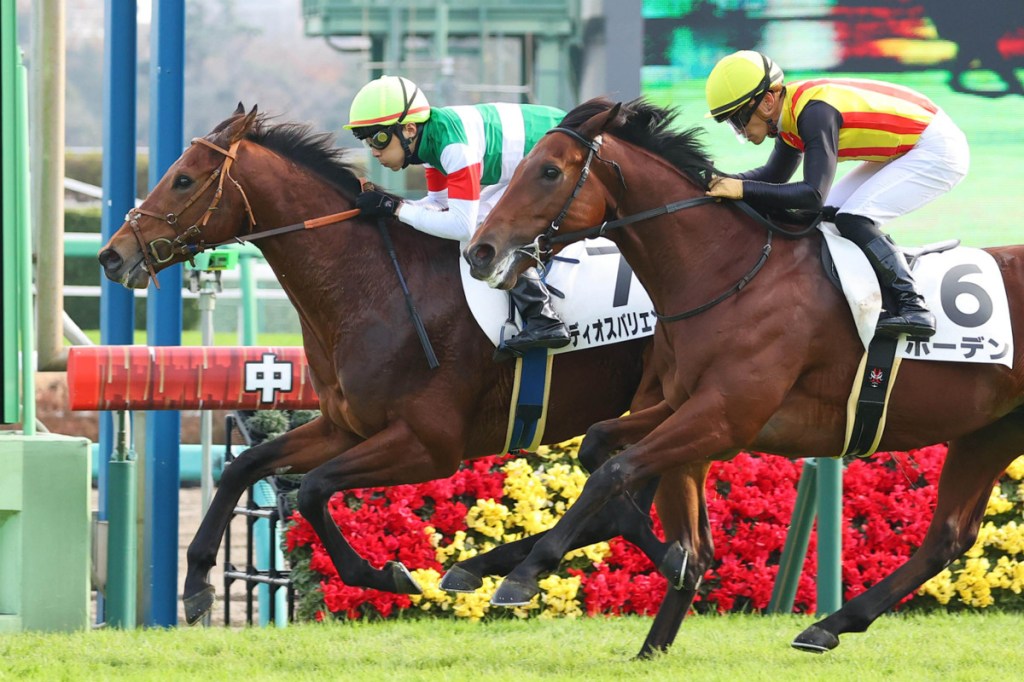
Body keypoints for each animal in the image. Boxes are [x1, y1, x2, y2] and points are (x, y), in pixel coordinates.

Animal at [96, 104, 700, 644]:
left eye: (183, 179)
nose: (111, 256)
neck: (374, 285)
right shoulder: (344, 427)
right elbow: (244, 465)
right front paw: (197, 582)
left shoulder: (429, 445)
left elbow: (313, 489)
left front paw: (384, 573)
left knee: (627, 503)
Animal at [463, 97, 1024, 653]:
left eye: (550, 171)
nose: (479, 252)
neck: (727, 273)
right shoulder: (684, 404)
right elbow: (601, 446)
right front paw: (673, 557)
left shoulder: (726, 418)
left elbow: (614, 471)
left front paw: (525, 574)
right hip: (990, 431)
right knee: (950, 534)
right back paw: (827, 625)